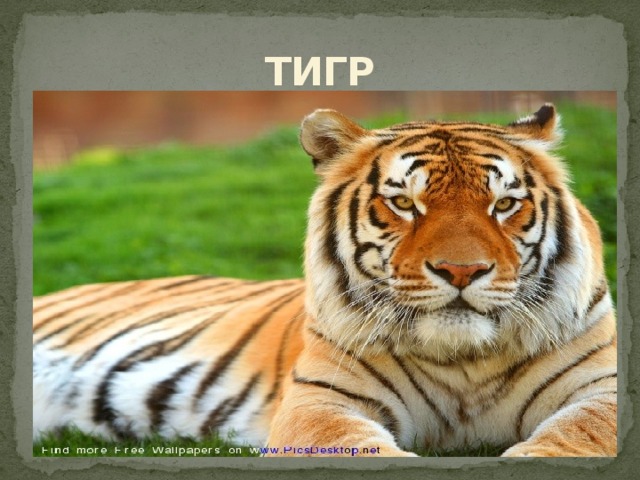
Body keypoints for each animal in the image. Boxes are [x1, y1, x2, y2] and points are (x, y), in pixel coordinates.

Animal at [33, 104, 617, 457]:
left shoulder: (603, 389)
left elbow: (577, 436)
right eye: (404, 203)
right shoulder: (322, 402)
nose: (462, 271)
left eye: (504, 205)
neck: (464, 364)